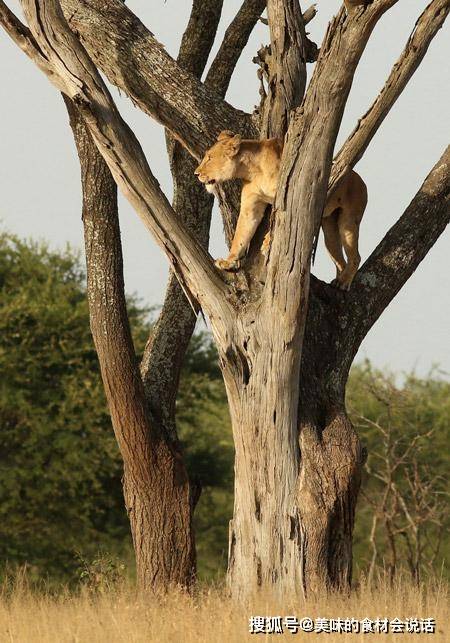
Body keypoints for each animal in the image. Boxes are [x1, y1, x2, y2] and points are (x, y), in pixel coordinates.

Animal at [195, 130, 368, 290]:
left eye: (209, 158)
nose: (196, 173)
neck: (252, 170)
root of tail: (361, 180)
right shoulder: (251, 207)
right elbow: (240, 236)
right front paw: (229, 262)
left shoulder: (289, 194)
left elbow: (278, 222)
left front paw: (266, 243)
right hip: (329, 229)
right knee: (339, 258)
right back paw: (338, 280)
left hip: (349, 221)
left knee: (355, 256)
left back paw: (344, 282)